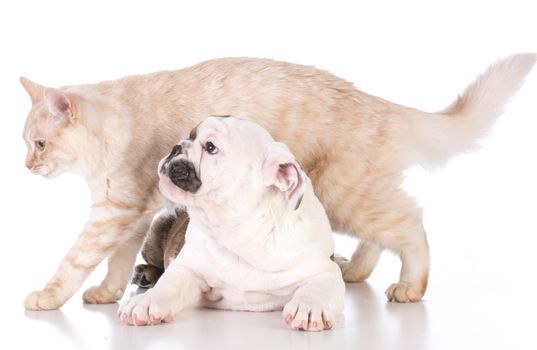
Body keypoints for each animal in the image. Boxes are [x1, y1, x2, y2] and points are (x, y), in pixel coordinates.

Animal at [19, 54, 532, 308]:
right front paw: (108, 294)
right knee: (381, 236)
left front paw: (47, 296)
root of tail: (380, 104)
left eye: (39, 144)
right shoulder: (129, 215)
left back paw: (410, 287)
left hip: (345, 196)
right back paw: (354, 271)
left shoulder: (115, 211)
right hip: (353, 201)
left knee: (412, 227)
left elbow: (75, 260)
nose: (25, 167)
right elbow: (117, 263)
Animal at [117, 115, 344, 330]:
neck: (239, 229)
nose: (176, 147)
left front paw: (309, 307)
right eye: (190, 136)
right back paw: (146, 274)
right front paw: (146, 302)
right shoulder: (189, 268)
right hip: (157, 231)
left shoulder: (324, 270)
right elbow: (168, 284)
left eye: (210, 147)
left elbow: (318, 287)